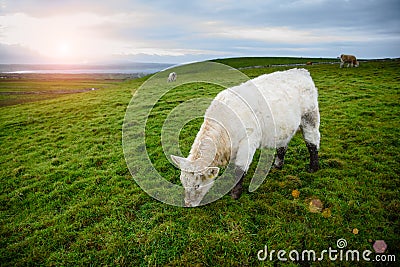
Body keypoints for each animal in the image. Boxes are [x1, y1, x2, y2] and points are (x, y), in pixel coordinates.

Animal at [170, 68, 320, 207]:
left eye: (197, 185)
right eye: (182, 182)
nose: (188, 204)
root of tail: (300, 71)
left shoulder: (247, 142)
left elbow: (239, 169)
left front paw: (235, 194)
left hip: (310, 118)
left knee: (312, 142)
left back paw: (313, 167)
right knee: (282, 145)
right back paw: (277, 165)